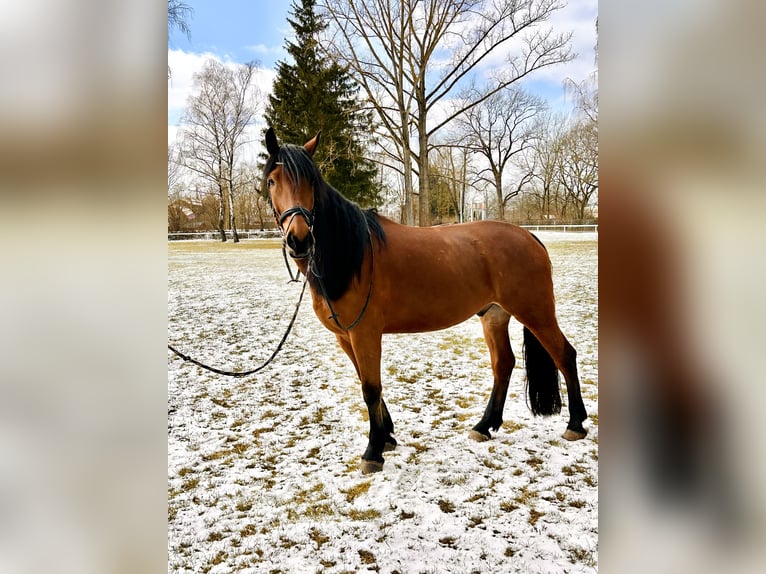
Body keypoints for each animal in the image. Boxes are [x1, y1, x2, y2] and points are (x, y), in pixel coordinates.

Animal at [262, 128, 588, 474]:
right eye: (271, 181)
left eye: (311, 181)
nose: (299, 239)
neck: (353, 254)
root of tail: (529, 236)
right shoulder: (345, 337)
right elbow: (368, 384)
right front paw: (387, 437)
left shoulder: (365, 333)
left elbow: (370, 388)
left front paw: (373, 451)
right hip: (494, 316)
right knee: (504, 364)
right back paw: (484, 426)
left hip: (536, 312)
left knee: (564, 355)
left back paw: (575, 425)